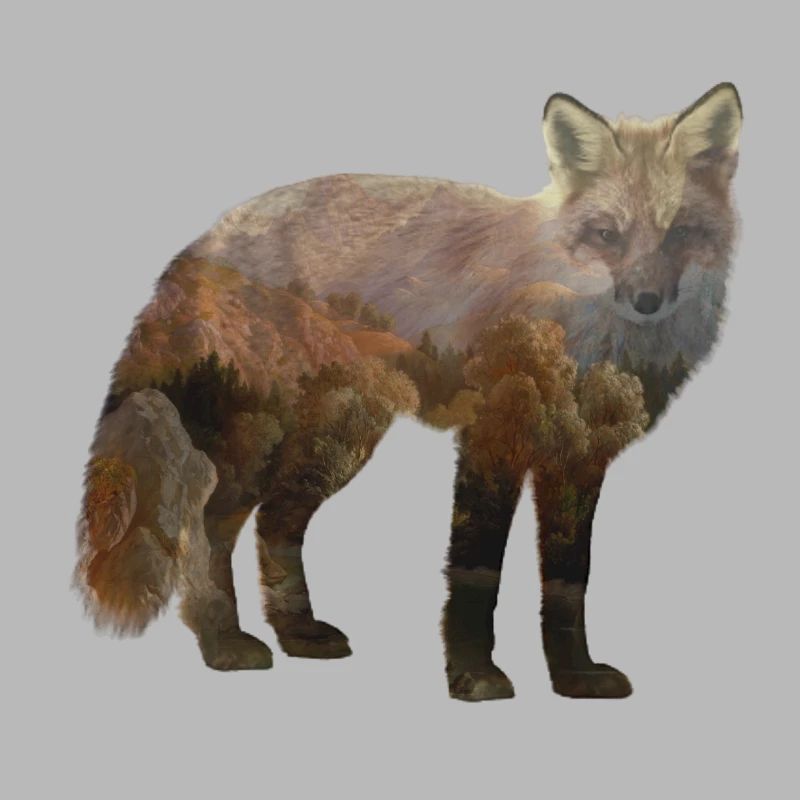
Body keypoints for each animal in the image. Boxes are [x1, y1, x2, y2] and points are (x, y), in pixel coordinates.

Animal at [75, 83, 742, 701]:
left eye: (680, 233)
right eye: (608, 235)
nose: (646, 301)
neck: (588, 333)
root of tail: (209, 236)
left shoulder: (578, 460)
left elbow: (568, 582)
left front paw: (574, 677)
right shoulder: (492, 440)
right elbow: (477, 573)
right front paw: (474, 676)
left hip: (337, 445)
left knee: (277, 524)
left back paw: (297, 634)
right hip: (256, 446)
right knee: (205, 530)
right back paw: (224, 644)